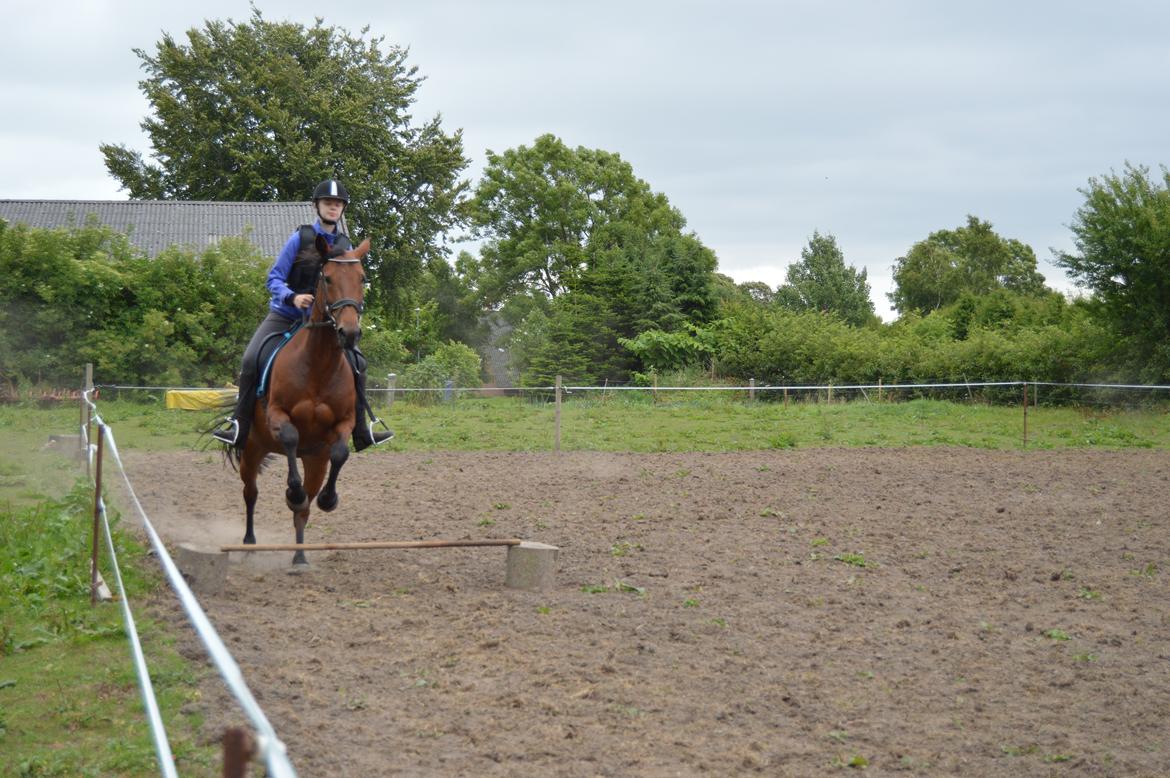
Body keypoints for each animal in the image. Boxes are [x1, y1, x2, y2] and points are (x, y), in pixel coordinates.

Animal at [233, 231, 369, 563]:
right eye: (328, 278)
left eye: (361, 278)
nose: (349, 333)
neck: (319, 364)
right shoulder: (278, 415)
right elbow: (291, 437)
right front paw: (292, 493)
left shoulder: (343, 423)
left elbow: (340, 454)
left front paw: (329, 499)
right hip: (252, 449)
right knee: (250, 493)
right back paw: (249, 542)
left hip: (314, 460)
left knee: (304, 509)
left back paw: (300, 557)